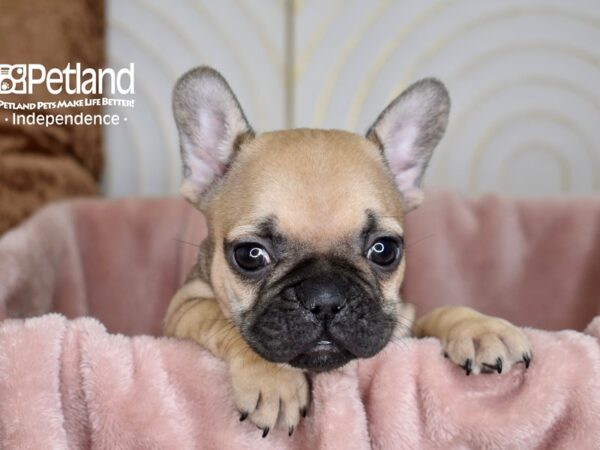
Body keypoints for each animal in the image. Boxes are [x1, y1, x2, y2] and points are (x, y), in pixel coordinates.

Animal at [162, 67, 532, 436]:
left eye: (384, 250)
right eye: (250, 255)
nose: (325, 299)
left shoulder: (404, 325)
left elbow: (436, 314)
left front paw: (480, 328)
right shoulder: (181, 310)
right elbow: (215, 316)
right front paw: (274, 379)